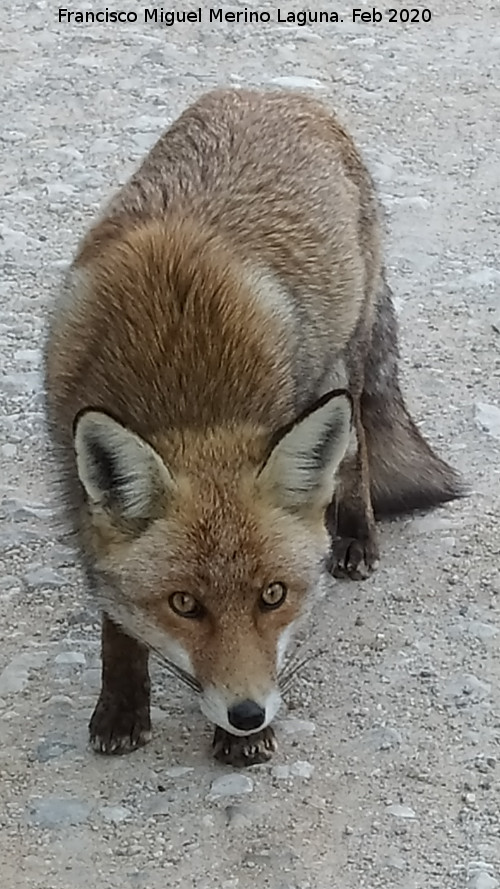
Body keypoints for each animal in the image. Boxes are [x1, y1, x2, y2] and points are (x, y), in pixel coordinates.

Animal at [43, 88, 462, 767]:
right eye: (185, 604)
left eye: (274, 595)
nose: (247, 714)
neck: (184, 384)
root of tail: (274, 92)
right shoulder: (78, 490)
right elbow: (116, 617)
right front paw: (123, 704)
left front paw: (245, 739)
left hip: (340, 366)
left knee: (356, 452)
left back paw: (355, 537)